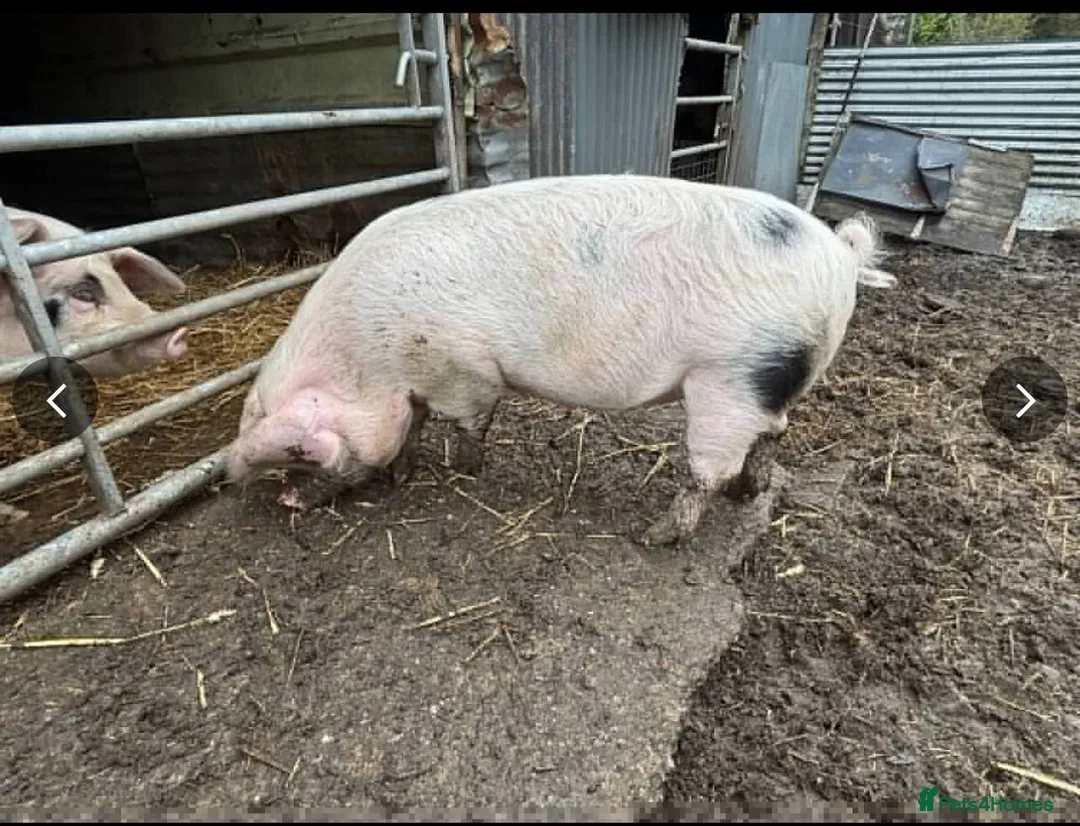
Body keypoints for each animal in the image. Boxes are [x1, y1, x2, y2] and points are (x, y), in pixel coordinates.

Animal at [225, 174, 896, 545]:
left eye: (299, 451)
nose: (284, 502)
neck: (368, 355)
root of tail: (839, 256)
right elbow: (411, 426)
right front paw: (402, 473)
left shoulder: (462, 368)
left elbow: (469, 421)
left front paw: (464, 471)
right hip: (767, 377)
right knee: (773, 431)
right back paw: (746, 495)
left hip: (730, 376)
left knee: (711, 468)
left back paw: (652, 537)